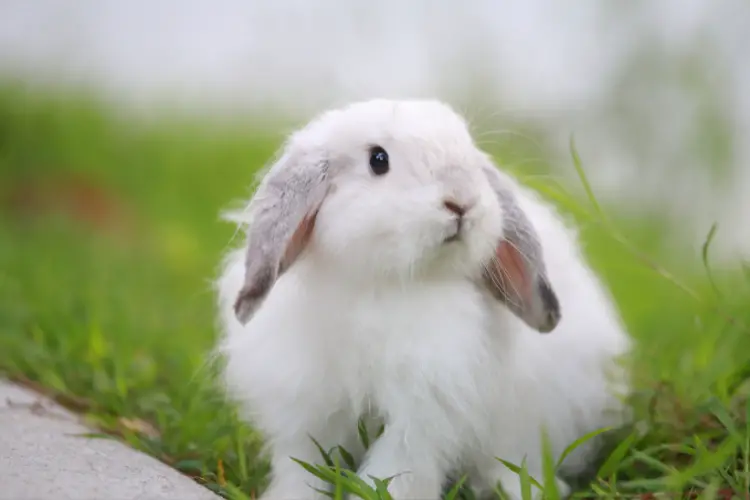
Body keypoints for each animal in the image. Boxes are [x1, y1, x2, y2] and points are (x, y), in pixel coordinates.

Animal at [214, 98, 632, 500]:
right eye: (378, 160)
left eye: (469, 150)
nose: (462, 202)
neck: (384, 284)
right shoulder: (304, 410)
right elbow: (301, 467)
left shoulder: (421, 415)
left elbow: (397, 470)